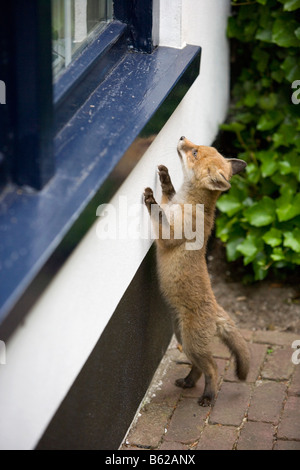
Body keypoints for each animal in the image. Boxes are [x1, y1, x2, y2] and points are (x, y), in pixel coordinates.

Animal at [144, 134, 250, 406]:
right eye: (200, 147)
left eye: (194, 153)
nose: (181, 136)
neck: (187, 202)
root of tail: (215, 309)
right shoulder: (171, 203)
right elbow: (168, 193)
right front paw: (165, 177)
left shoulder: (169, 235)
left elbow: (159, 214)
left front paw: (150, 199)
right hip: (183, 340)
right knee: (200, 367)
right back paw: (189, 381)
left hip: (191, 343)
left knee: (212, 368)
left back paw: (208, 396)